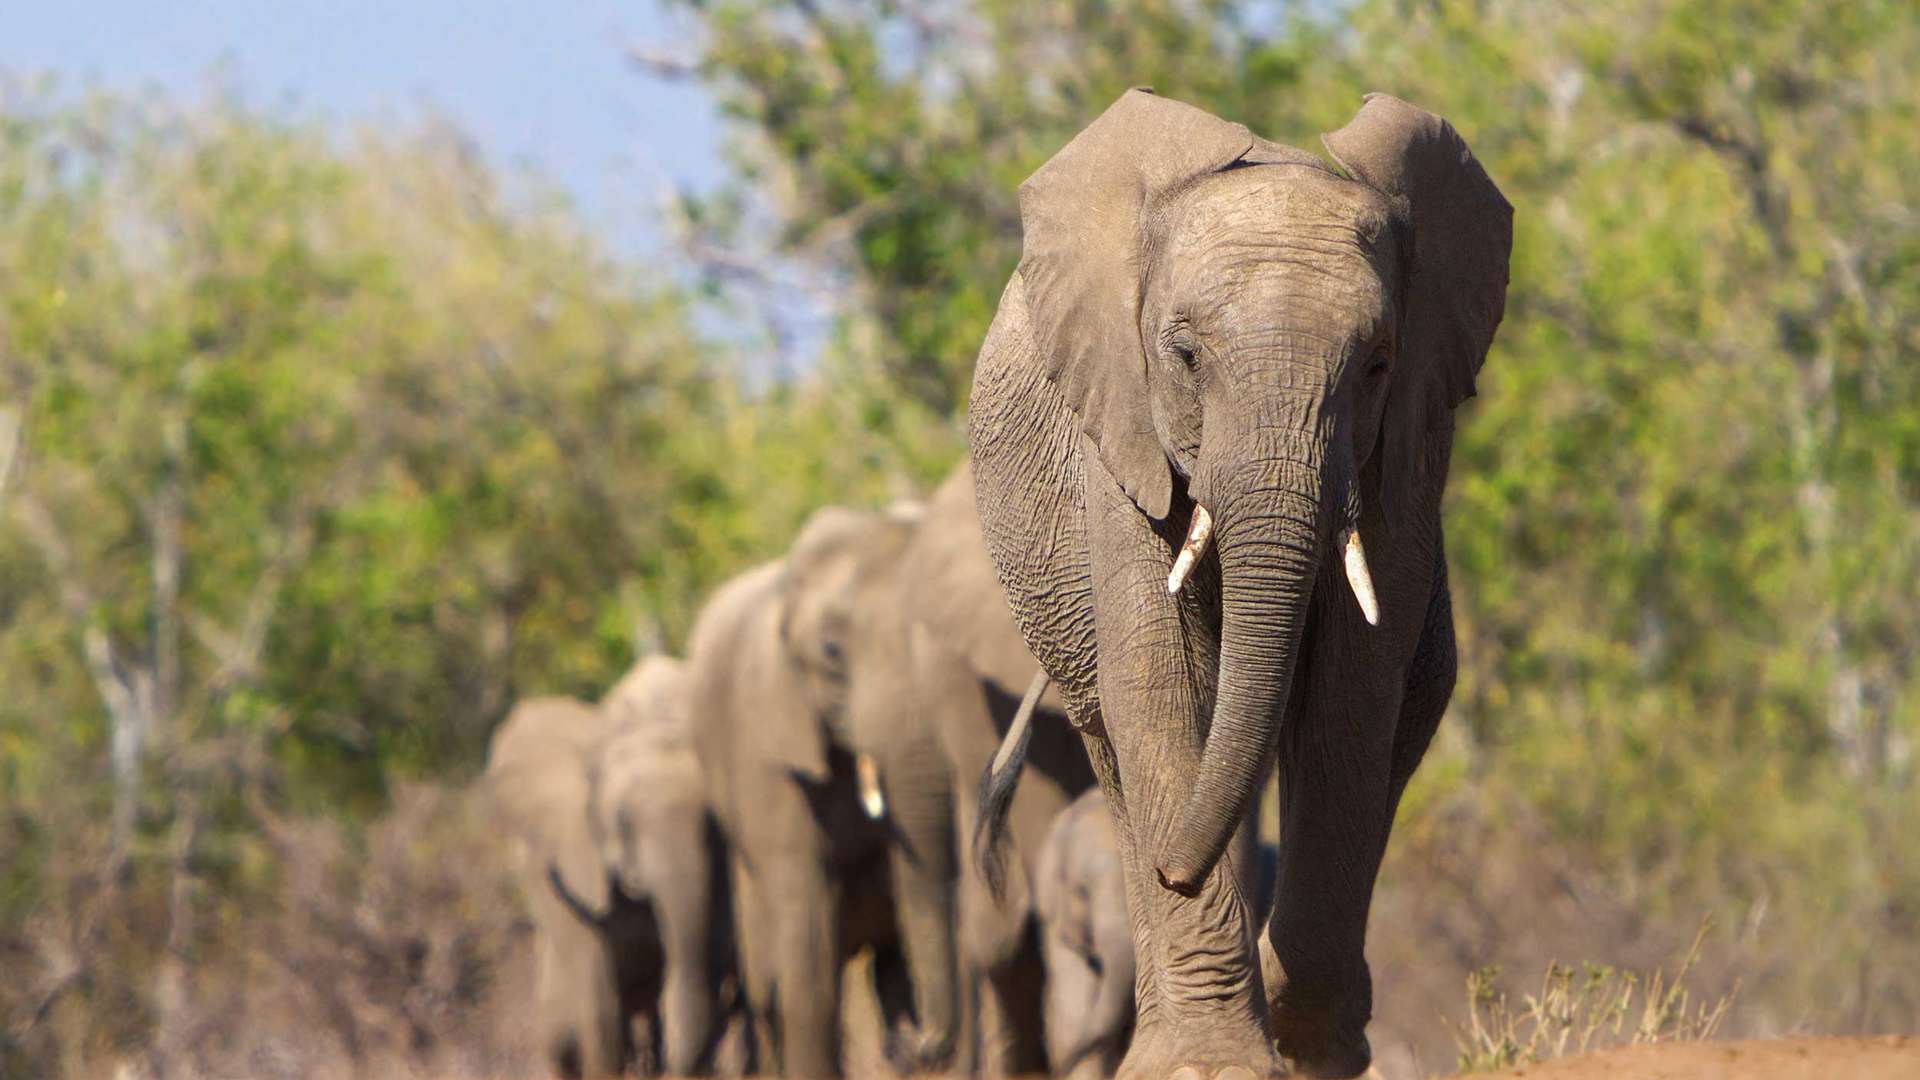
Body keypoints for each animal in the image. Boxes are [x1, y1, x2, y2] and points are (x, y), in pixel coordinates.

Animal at [975, 92, 1512, 1076]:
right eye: (1184, 357)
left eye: (1377, 364)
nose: (1174, 869)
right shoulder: (1120, 434)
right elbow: (1163, 681)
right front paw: (1215, 1063)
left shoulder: (1410, 448)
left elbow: (1350, 691)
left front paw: (1305, 1045)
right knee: (1115, 740)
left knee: (1404, 708)